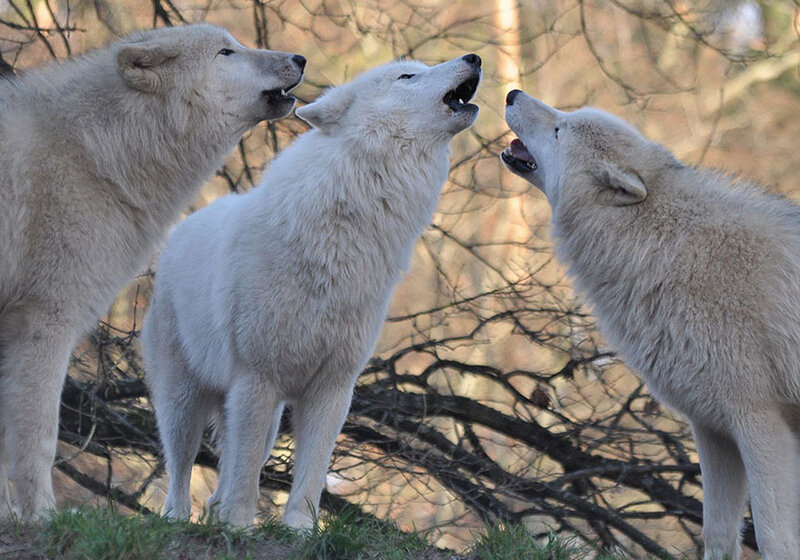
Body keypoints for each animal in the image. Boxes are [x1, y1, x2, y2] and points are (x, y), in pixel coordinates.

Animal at [0, 24, 305, 519]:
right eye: (226, 52)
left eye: (235, 43)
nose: (299, 59)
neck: (95, 152)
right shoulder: (46, 318)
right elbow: (40, 437)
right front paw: (43, 516)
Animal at [141, 54, 482, 529]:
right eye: (407, 76)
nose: (474, 58)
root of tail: (182, 228)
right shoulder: (258, 379)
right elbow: (247, 474)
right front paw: (242, 527)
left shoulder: (333, 388)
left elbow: (311, 473)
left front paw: (300, 530)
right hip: (185, 400)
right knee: (182, 469)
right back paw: (180, 518)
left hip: (261, 415)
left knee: (223, 476)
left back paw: (217, 516)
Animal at [502, 89, 800, 559]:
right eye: (564, 117)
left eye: (560, 129)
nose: (513, 93)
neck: (661, 247)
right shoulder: (712, 429)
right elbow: (716, 534)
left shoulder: (761, 421)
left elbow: (774, 538)